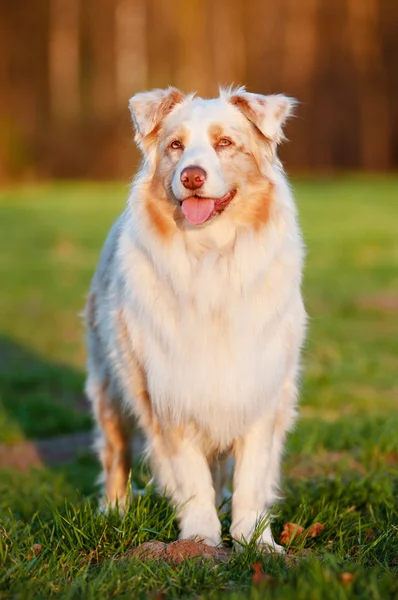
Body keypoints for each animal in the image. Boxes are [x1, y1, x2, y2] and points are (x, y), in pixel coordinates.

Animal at [85, 85, 306, 552]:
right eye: (175, 146)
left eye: (224, 143)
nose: (191, 177)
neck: (211, 256)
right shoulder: (169, 388)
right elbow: (190, 476)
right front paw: (200, 541)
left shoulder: (258, 387)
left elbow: (250, 477)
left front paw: (255, 540)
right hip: (109, 382)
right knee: (115, 451)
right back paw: (113, 512)